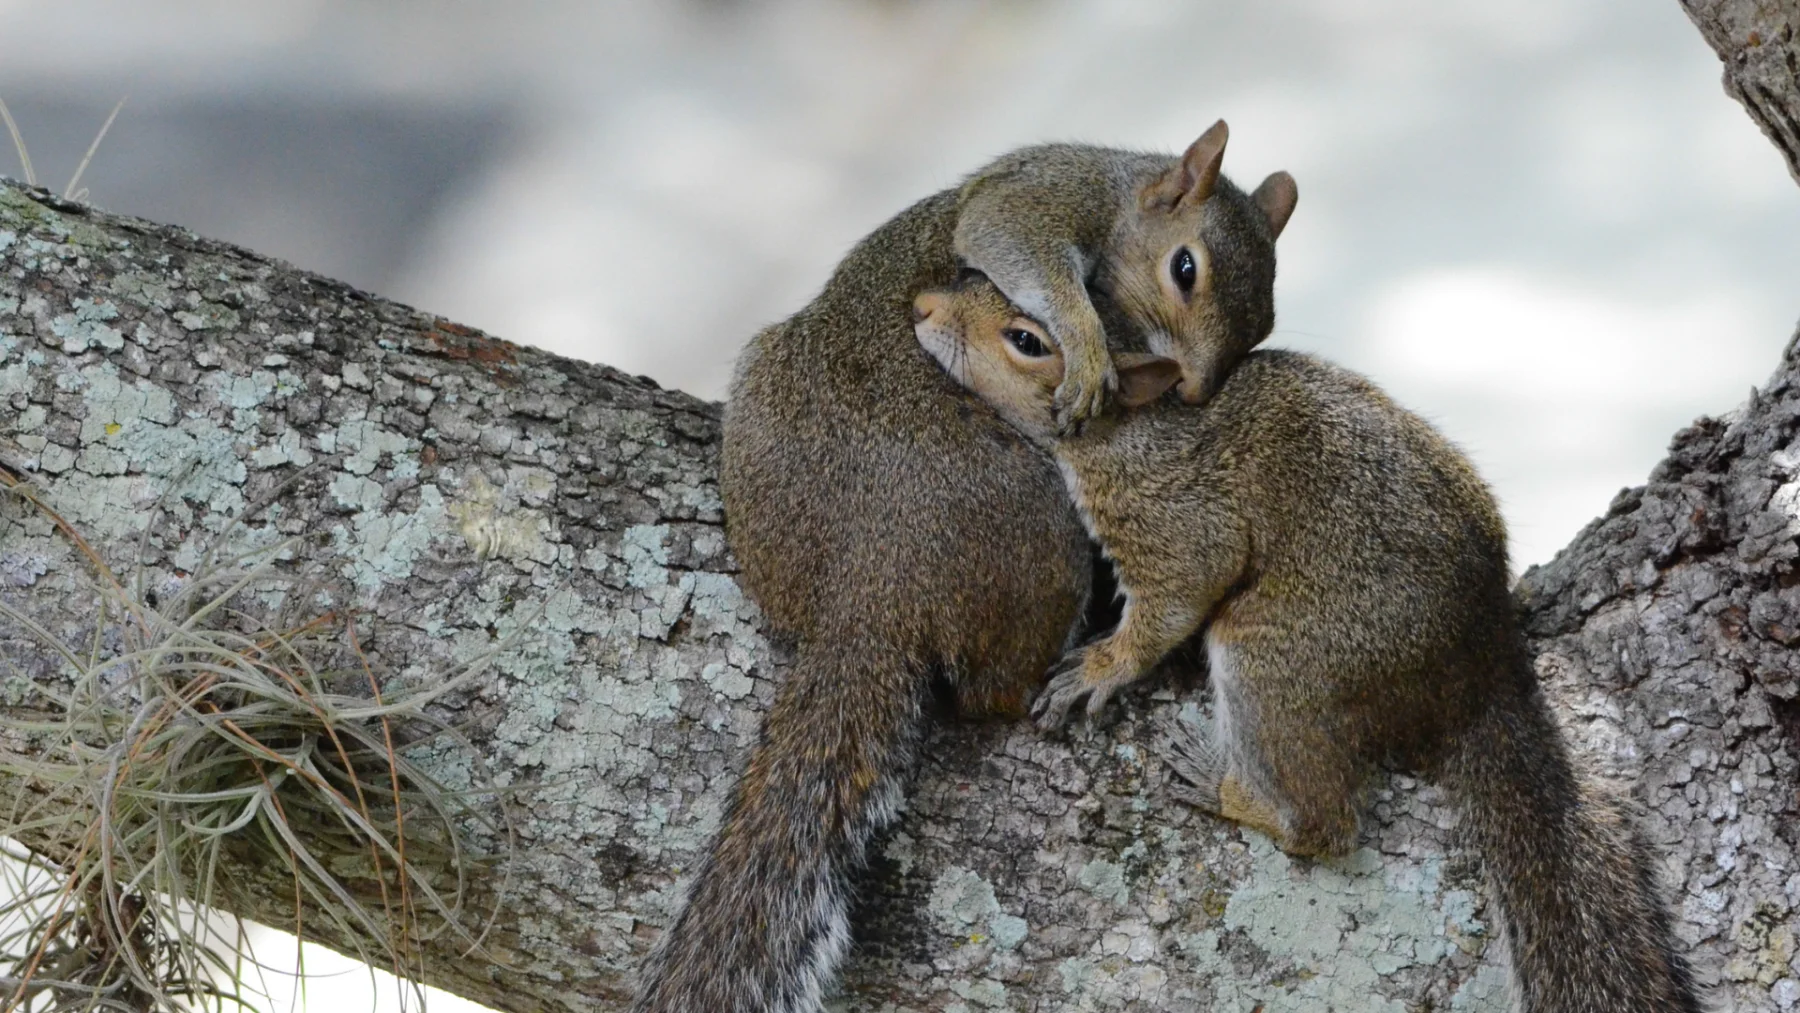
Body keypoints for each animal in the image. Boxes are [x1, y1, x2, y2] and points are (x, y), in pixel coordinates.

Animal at [911, 275, 1704, 1012]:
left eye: (1026, 340)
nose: (922, 307)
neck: (1129, 430)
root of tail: (1476, 674)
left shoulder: (1174, 515)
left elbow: (1176, 596)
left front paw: (1102, 668)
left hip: (1281, 656)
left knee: (1326, 822)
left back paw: (1234, 792)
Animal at [954, 120, 1297, 431]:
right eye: (1184, 269)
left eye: (1266, 328)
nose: (1193, 391)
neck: (1119, 200)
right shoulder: (1047, 197)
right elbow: (1002, 231)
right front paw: (1090, 360)